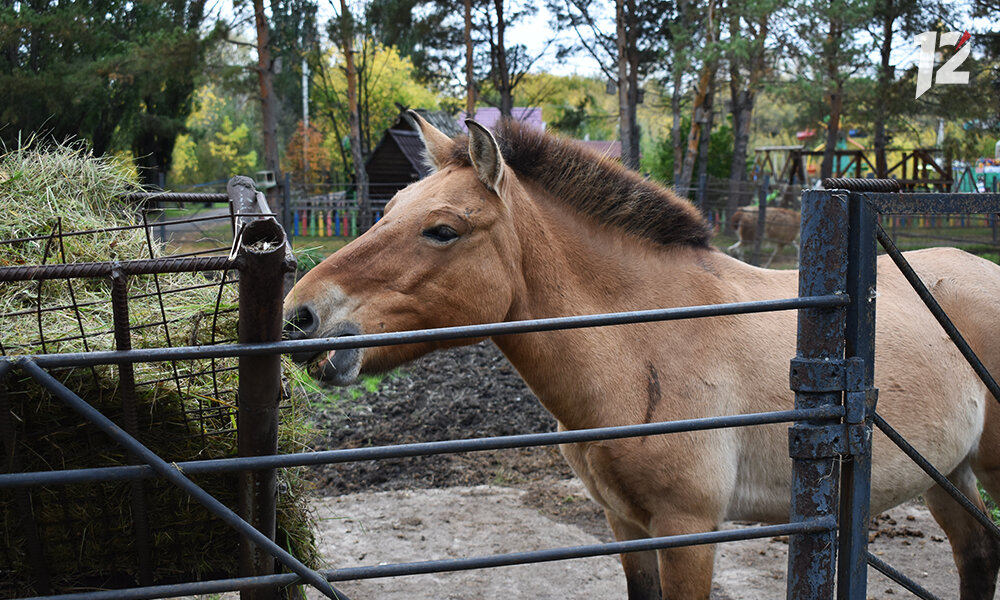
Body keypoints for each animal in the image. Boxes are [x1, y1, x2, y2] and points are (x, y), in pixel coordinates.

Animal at [282, 113, 1000, 600]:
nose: (301, 315)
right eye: (390, 208)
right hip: (947, 471)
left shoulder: (689, 530)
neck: (653, 341)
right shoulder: (626, 523)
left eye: (442, 230)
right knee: (978, 553)